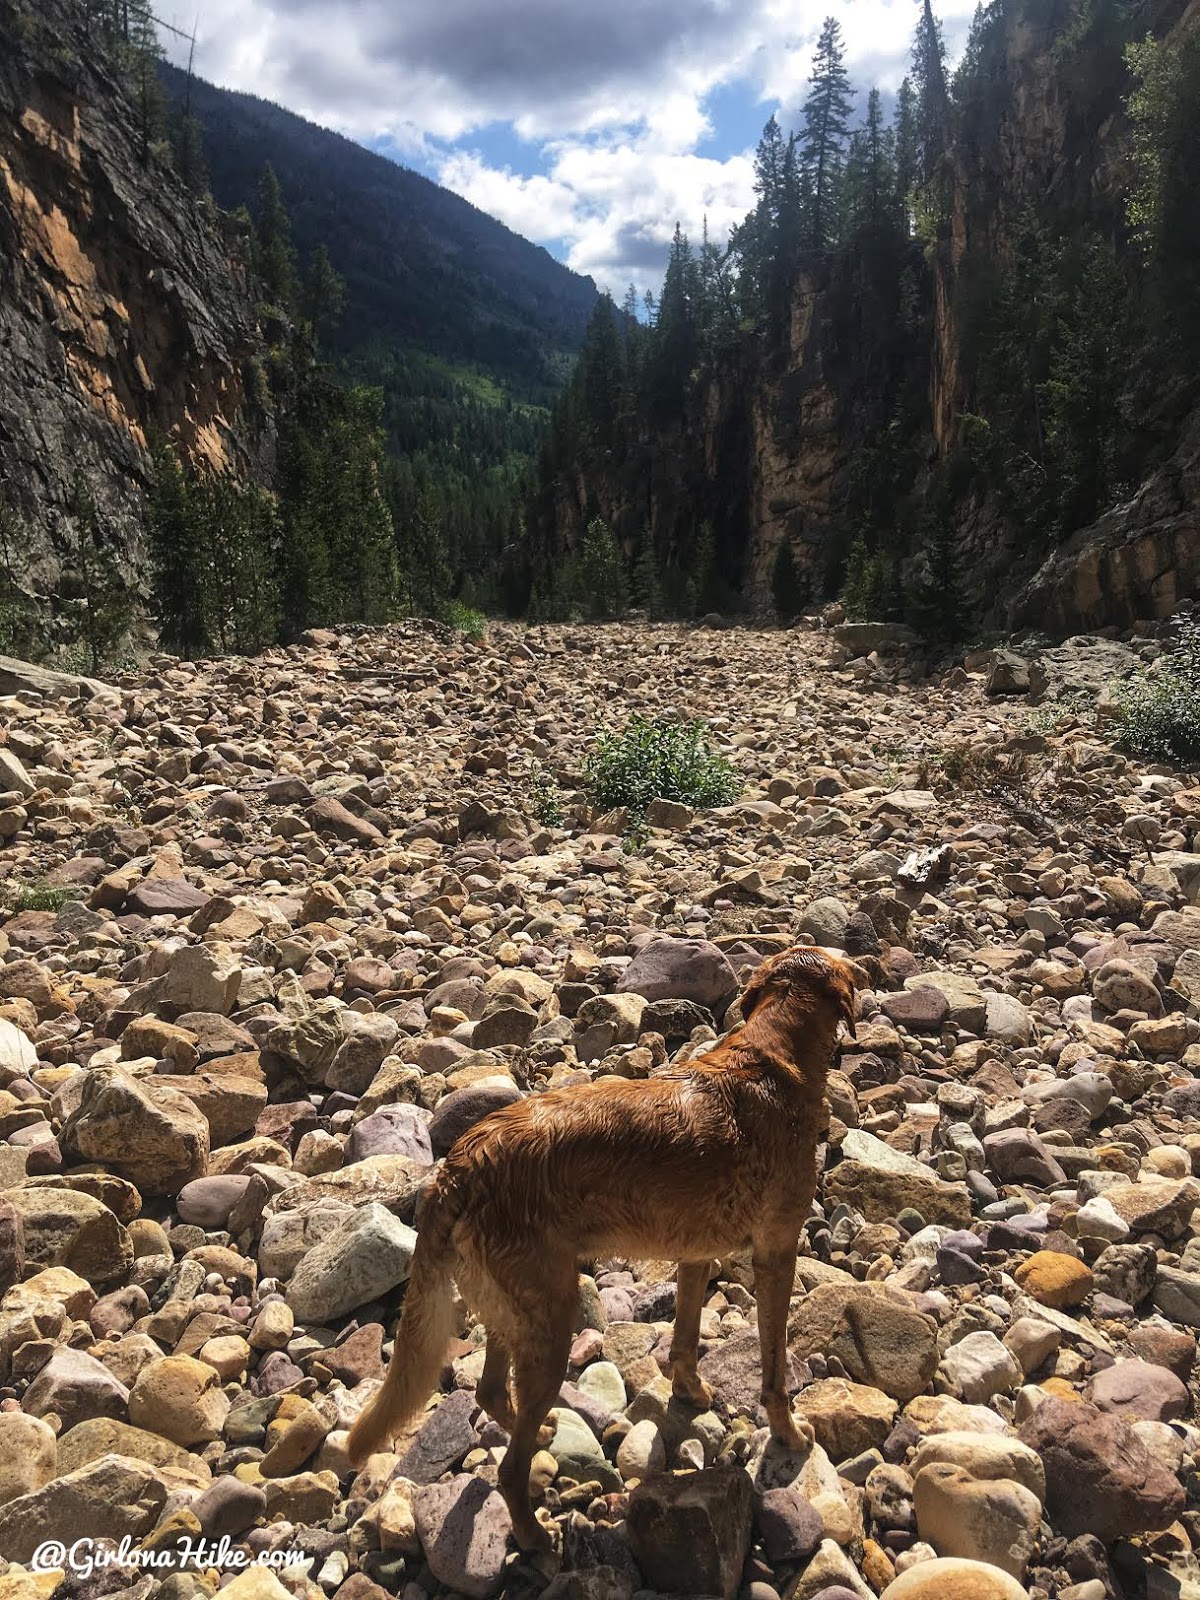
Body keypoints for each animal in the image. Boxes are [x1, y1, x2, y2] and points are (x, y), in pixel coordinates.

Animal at [342, 940, 857, 1542]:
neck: (773, 1053)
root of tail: (459, 1166)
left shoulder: (696, 1253)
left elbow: (684, 1337)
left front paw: (689, 1393)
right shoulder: (777, 1251)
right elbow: (774, 1368)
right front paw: (788, 1433)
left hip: (512, 1304)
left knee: (491, 1390)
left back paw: (538, 1436)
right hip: (552, 1314)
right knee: (509, 1470)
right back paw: (536, 1541)